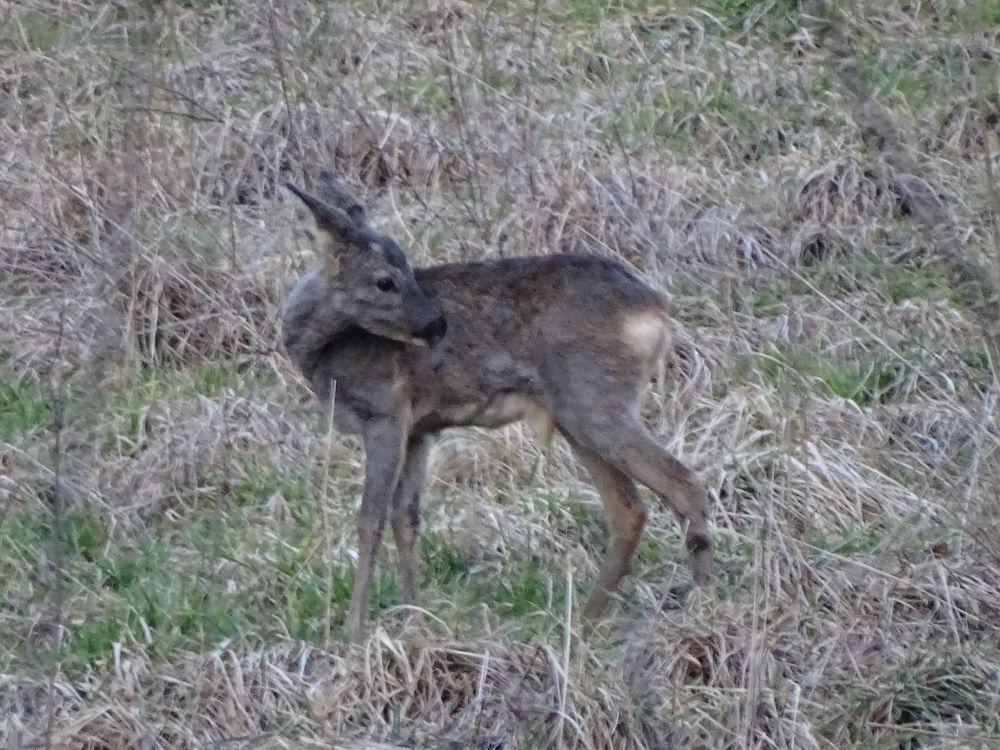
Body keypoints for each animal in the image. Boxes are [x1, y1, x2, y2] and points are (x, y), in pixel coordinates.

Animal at [284, 173, 712, 644]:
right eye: (384, 280)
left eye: (406, 271)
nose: (437, 324)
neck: (327, 352)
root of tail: (655, 306)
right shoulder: (420, 429)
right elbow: (406, 518)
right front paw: (416, 620)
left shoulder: (385, 414)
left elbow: (370, 518)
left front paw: (354, 631)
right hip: (578, 415)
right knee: (628, 509)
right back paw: (583, 621)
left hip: (594, 400)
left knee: (682, 484)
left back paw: (703, 603)